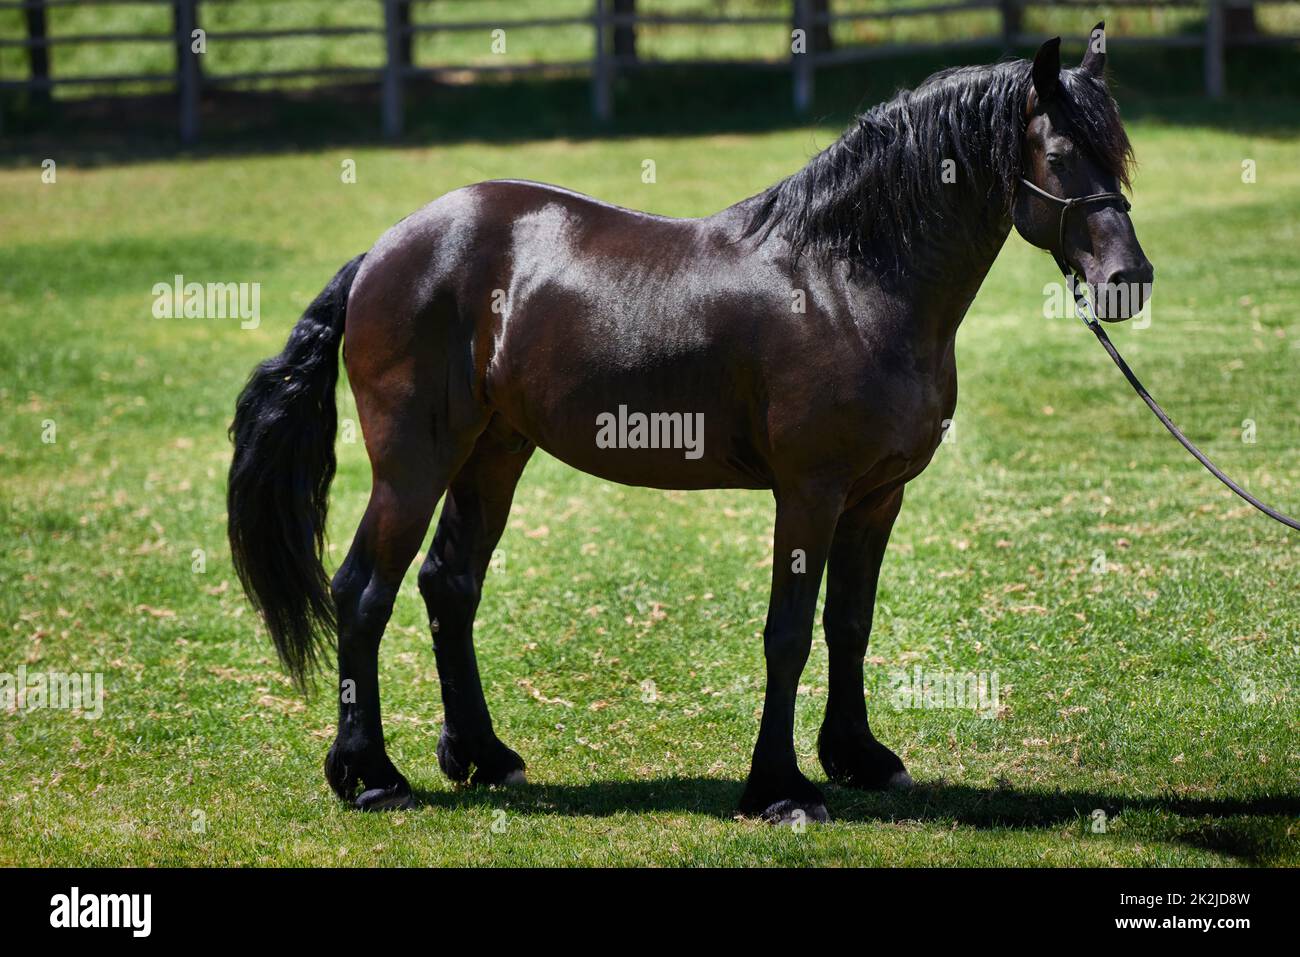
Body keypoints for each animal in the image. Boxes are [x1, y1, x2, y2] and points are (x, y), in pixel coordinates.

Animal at [228, 24, 1153, 823]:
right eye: (1059, 156)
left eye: (1120, 152)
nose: (1128, 279)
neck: (845, 279)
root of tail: (384, 253)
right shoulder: (809, 493)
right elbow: (789, 633)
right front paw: (780, 790)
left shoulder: (876, 496)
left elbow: (848, 625)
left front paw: (859, 757)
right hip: (414, 461)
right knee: (363, 590)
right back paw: (371, 775)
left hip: (494, 450)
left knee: (449, 583)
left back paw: (484, 756)